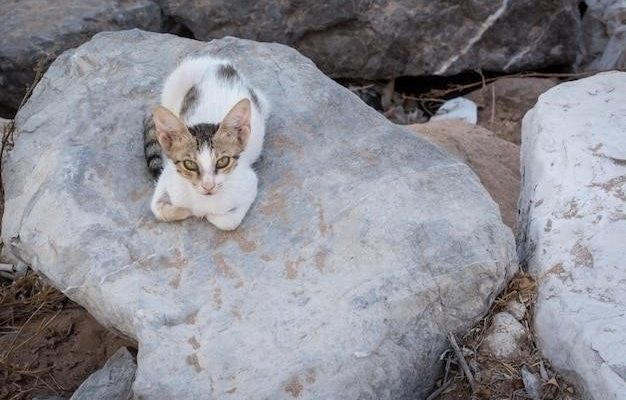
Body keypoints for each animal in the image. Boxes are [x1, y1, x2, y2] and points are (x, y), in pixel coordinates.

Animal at [143, 56, 266, 231]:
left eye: (223, 161)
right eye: (189, 164)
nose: (208, 186)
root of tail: (221, 63)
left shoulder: (249, 183)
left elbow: (228, 222)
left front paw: (207, 215)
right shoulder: (167, 177)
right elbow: (157, 208)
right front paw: (186, 211)